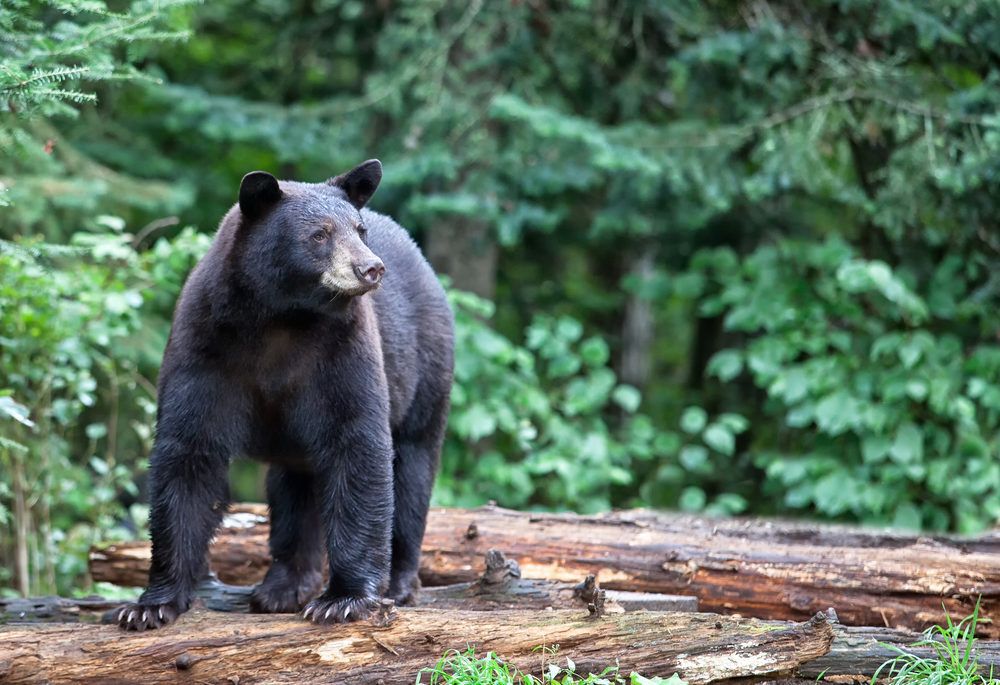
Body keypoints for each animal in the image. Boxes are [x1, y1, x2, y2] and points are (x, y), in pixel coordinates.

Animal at [117, 159, 454, 630]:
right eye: (319, 234)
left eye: (359, 229)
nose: (371, 268)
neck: (282, 318)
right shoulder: (205, 347)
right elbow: (188, 452)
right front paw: (150, 604)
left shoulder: (342, 351)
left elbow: (358, 444)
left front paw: (344, 599)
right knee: (294, 487)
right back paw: (283, 586)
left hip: (425, 369)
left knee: (413, 468)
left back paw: (400, 582)